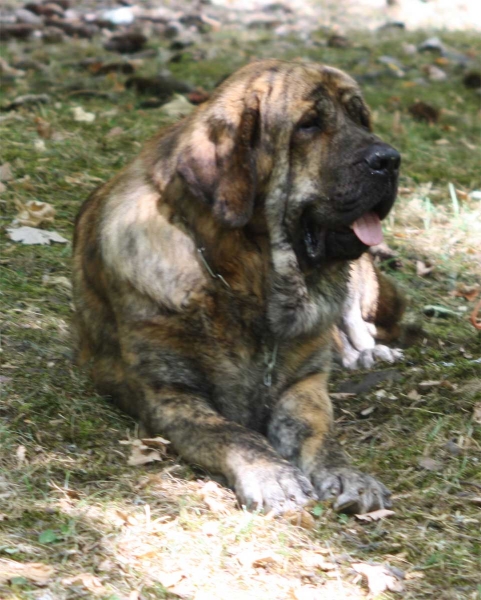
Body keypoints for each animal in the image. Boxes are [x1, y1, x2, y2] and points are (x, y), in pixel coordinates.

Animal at [73, 58, 400, 512]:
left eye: (361, 118)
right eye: (309, 125)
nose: (390, 159)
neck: (248, 281)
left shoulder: (304, 386)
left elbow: (321, 433)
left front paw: (346, 473)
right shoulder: (168, 392)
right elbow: (233, 433)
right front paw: (271, 475)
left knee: (356, 322)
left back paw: (367, 352)